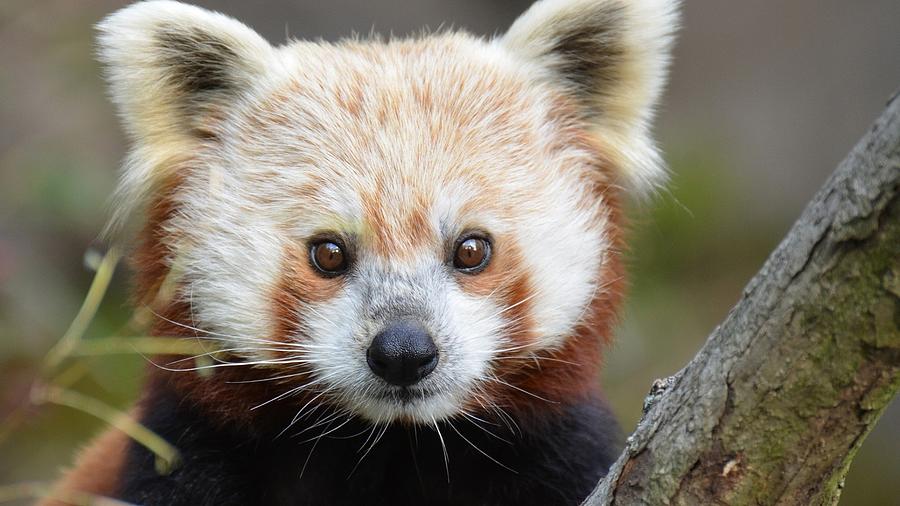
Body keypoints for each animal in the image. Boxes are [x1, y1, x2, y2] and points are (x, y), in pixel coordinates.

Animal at [42, 0, 676, 504]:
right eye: (328, 253)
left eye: (472, 249)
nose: (403, 352)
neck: (389, 444)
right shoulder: (184, 455)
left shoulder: (558, 453)